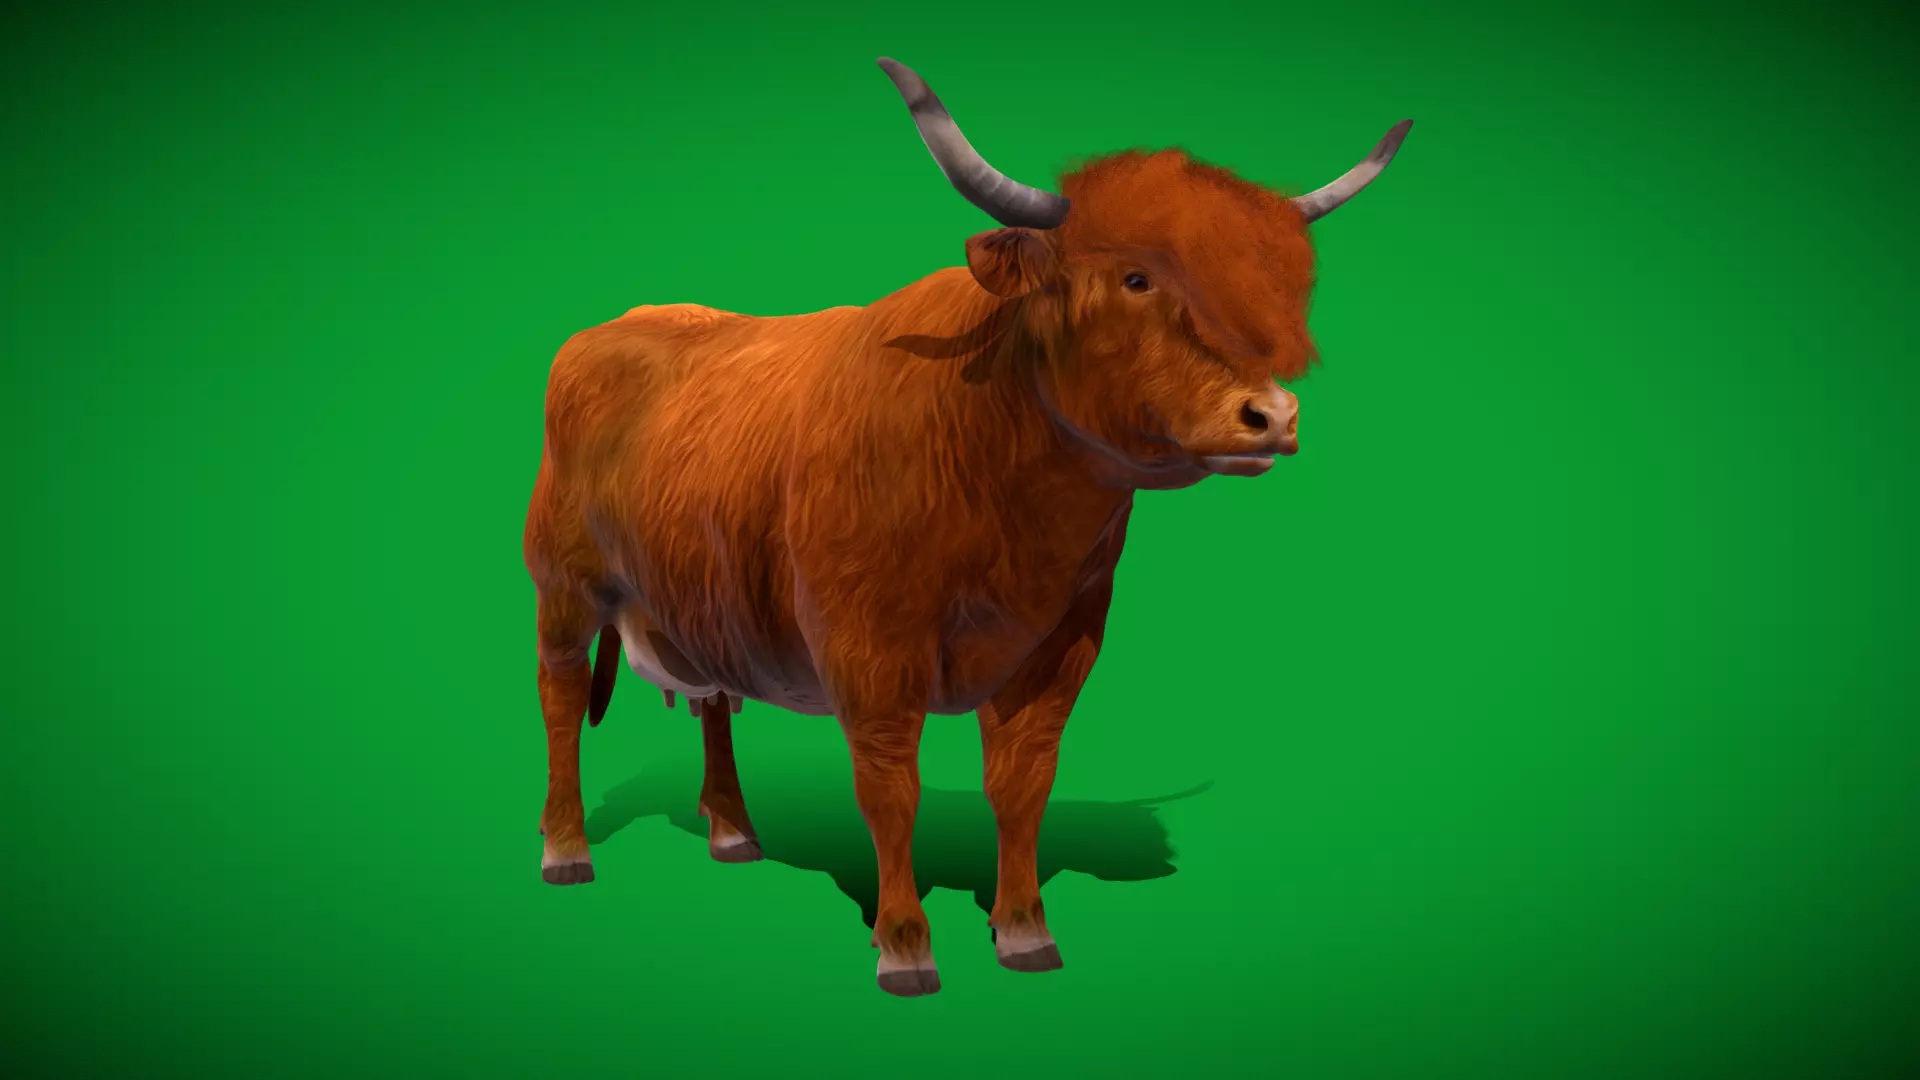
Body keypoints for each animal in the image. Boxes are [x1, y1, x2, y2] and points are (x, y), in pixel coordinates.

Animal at [523, 57, 1411, 997]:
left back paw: (733, 832)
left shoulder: (1062, 641)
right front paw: (904, 944)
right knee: (560, 699)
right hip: (563, 587)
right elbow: (890, 789)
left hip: (698, 595)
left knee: (714, 699)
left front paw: (1024, 930)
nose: (1272, 416)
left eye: (1283, 291)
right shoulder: (868, 647)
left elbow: (1023, 782)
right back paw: (566, 849)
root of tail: (628, 322)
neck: (1012, 510)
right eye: (1136, 278)